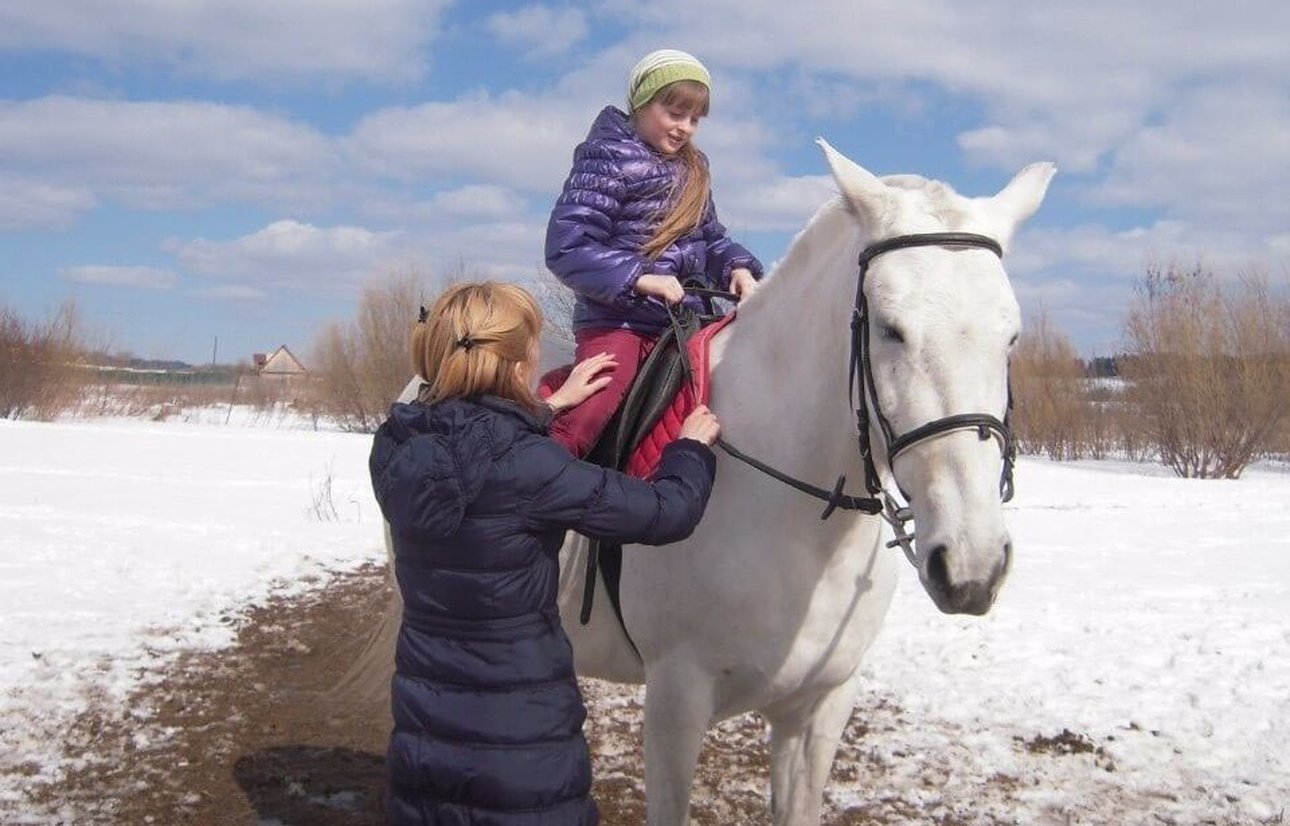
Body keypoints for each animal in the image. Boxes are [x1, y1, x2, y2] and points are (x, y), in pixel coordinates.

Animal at [368, 141, 1052, 826]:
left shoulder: (820, 708)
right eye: (890, 328)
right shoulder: (676, 700)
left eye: (1011, 336)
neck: (794, 521)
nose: (971, 566)